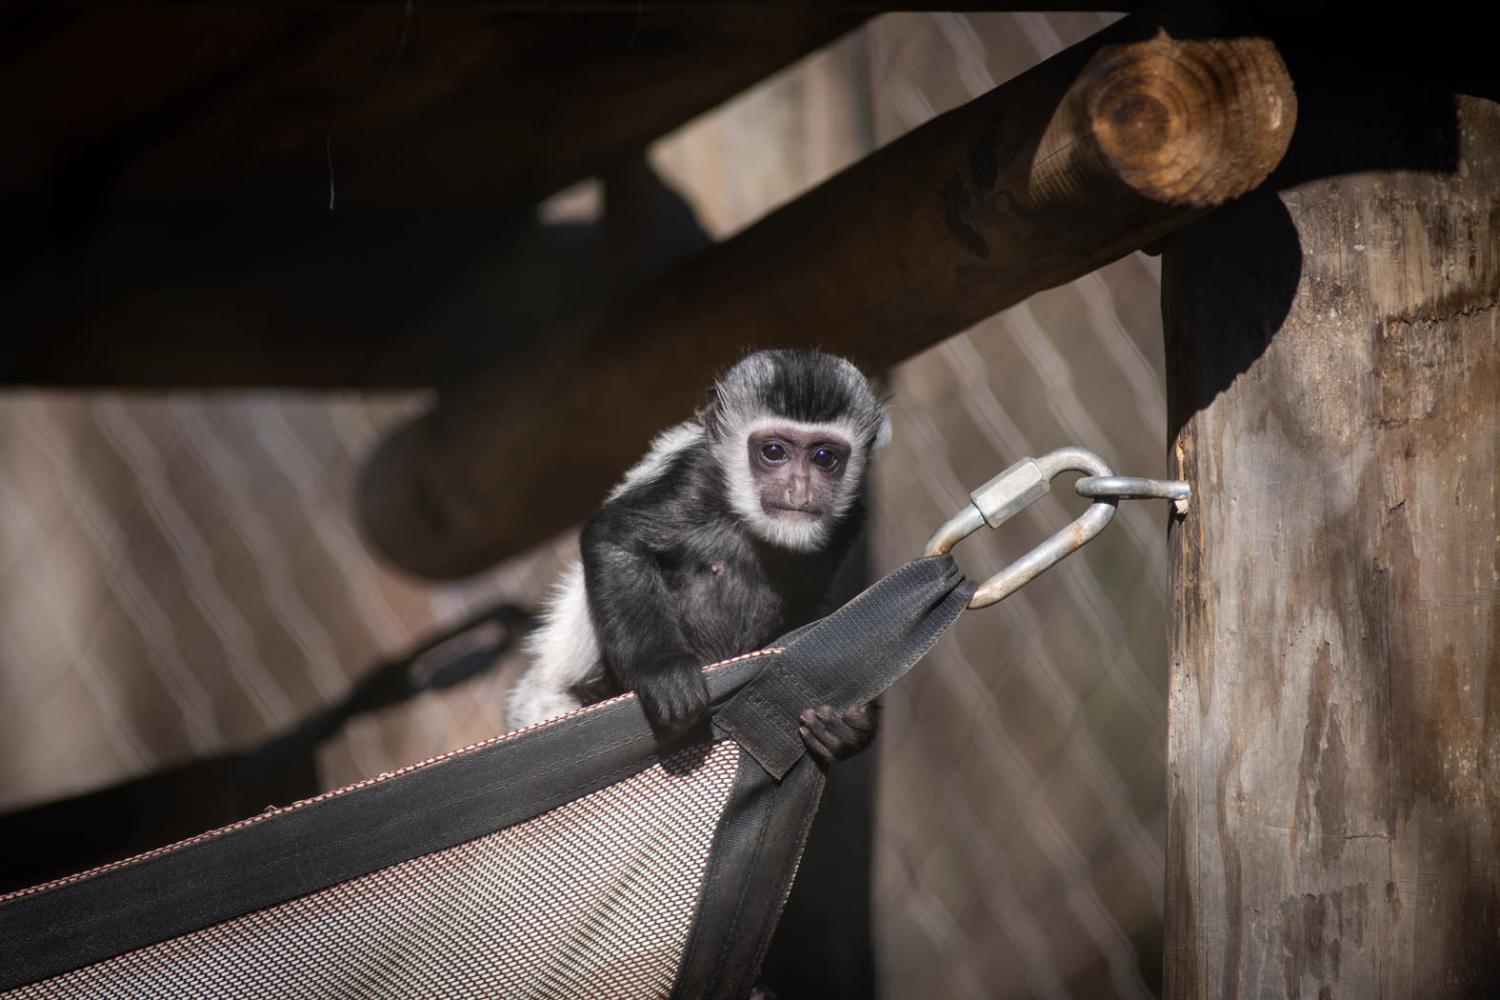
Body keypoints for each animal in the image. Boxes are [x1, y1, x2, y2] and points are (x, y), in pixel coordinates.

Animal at [510, 347, 888, 761]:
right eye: (774, 451)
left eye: (824, 457)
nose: (799, 490)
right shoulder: (694, 482)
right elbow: (616, 539)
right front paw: (664, 672)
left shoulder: (847, 523)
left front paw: (847, 724)